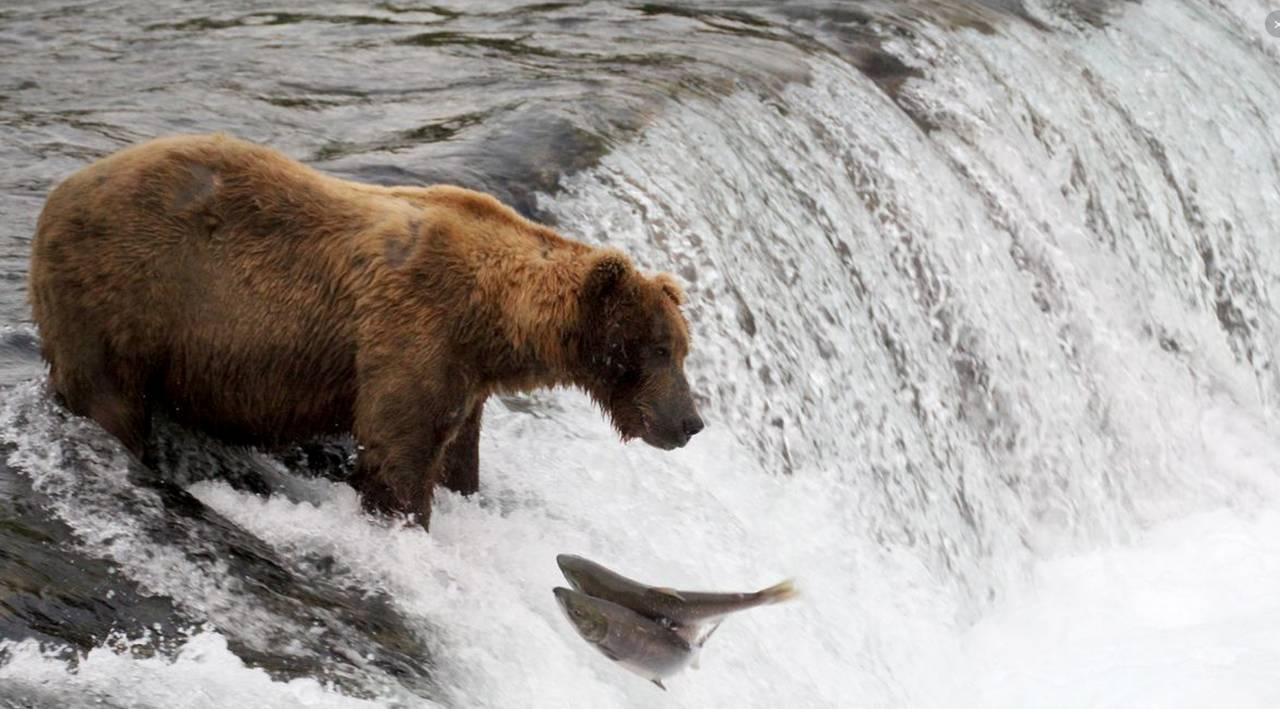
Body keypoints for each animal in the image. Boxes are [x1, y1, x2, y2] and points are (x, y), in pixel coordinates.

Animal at [30, 132, 706, 524]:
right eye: (660, 348)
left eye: (682, 349)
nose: (691, 423)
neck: (492, 321)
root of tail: (56, 196)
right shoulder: (413, 334)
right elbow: (398, 451)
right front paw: (406, 520)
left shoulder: (466, 379)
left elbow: (457, 451)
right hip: (125, 295)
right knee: (109, 399)